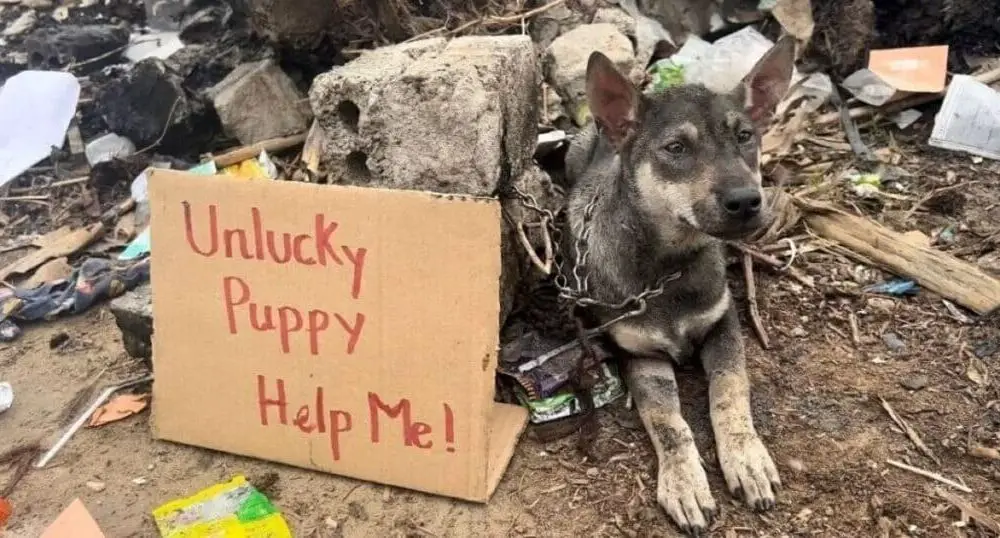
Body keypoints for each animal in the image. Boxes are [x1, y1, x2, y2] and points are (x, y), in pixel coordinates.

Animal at [564, 36, 796, 532]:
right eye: (675, 148)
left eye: (745, 136)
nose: (747, 202)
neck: (668, 268)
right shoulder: (639, 354)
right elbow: (667, 422)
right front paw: (685, 482)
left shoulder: (723, 324)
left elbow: (730, 391)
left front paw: (746, 457)